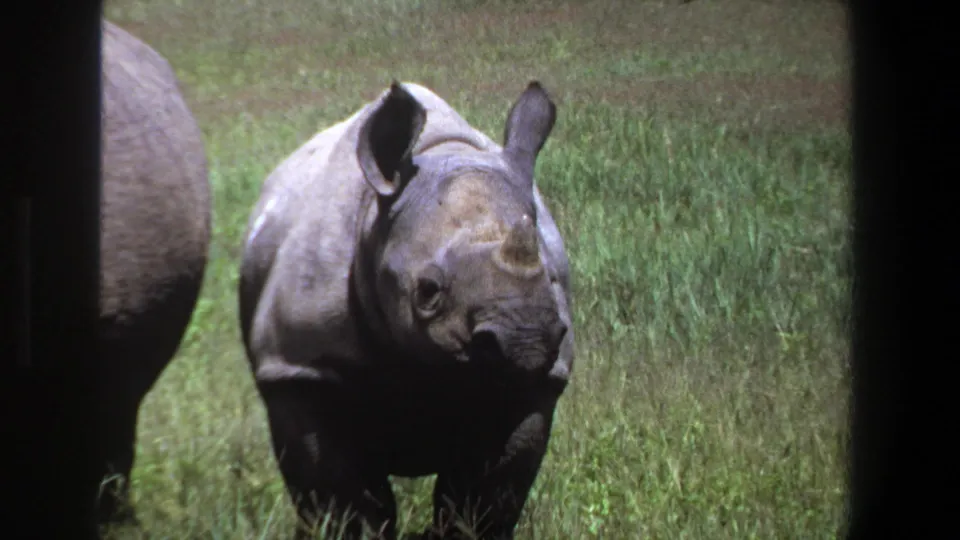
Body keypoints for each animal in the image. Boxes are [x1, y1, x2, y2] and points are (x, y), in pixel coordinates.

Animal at [239, 81, 574, 539]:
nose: (526, 341)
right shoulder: (300, 367)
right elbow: (342, 500)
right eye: (428, 292)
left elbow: (483, 500)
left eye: (552, 279)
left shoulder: (533, 384)